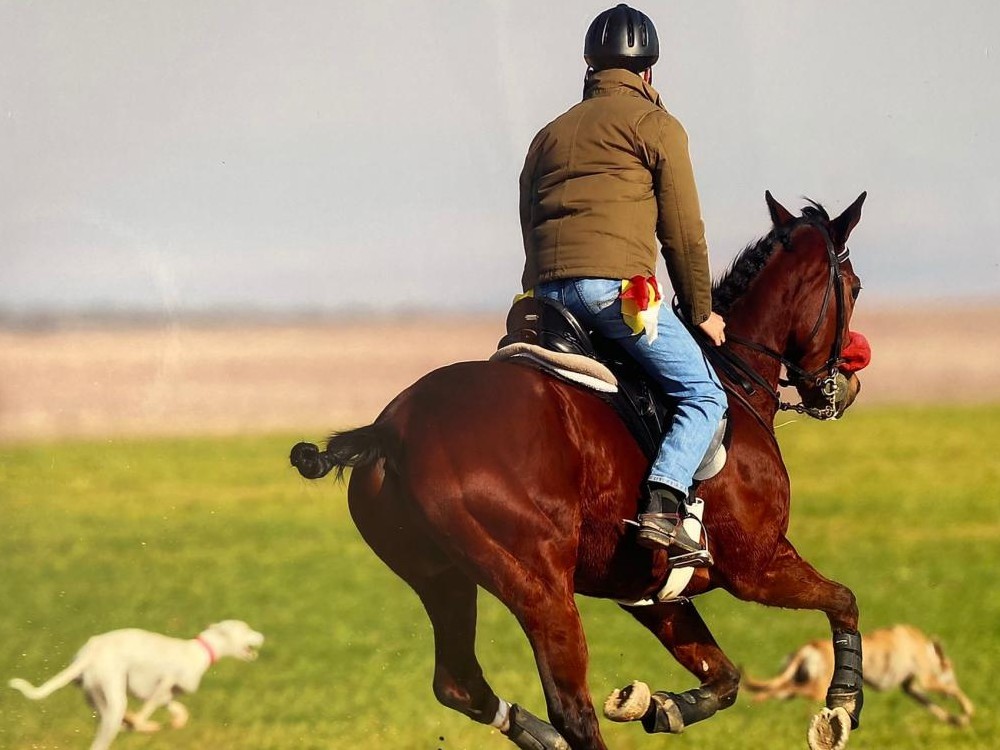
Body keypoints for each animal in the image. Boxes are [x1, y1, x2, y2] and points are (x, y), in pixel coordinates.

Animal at [9, 620, 264, 750]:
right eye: (246, 629)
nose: (262, 636)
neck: (199, 650)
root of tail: (89, 652)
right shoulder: (163, 684)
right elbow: (146, 713)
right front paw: (145, 724)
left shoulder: (165, 693)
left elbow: (178, 709)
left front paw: (176, 720)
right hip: (114, 698)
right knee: (108, 733)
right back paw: (140, 724)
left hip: (95, 695)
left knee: (110, 718)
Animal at [290, 191, 870, 750]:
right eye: (855, 286)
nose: (848, 382)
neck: (733, 378)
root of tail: (393, 428)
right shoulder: (759, 567)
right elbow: (844, 599)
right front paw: (842, 705)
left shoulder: (650, 593)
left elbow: (724, 677)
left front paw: (656, 706)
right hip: (541, 590)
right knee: (571, 710)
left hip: (442, 581)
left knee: (460, 684)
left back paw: (541, 736)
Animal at [741, 624, 974, 726]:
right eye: (951, 672)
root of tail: (808, 647)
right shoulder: (926, 680)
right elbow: (955, 691)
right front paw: (967, 711)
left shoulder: (911, 688)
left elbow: (932, 705)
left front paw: (955, 719)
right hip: (815, 686)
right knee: (792, 690)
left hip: (794, 680)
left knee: (776, 688)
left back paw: (756, 697)